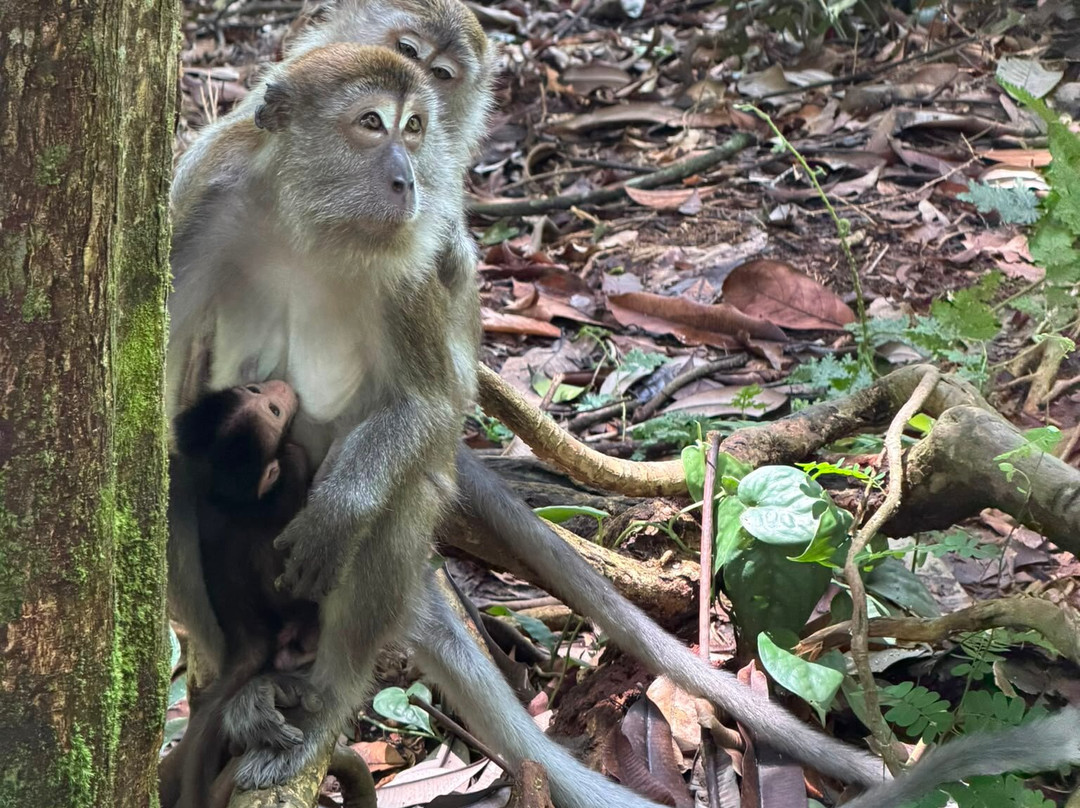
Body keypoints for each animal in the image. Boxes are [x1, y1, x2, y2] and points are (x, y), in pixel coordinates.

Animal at [164, 4, 1080, 807]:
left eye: (415, 125)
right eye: (369, 123)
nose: (405, 176)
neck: (310, 224)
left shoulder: (418, 255)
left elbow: (425, 402)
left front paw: (337, 513)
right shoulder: (206, 199)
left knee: (399, 500)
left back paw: (323, 700)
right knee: (179, 487)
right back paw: (242, 685)